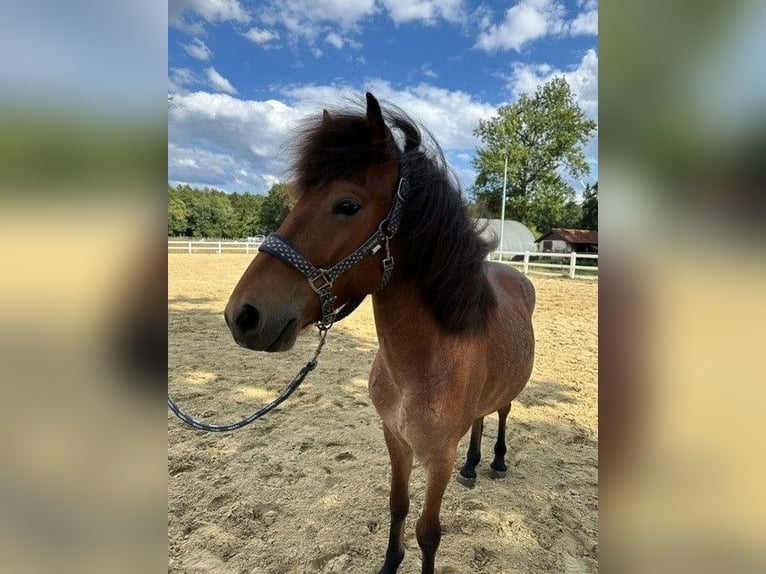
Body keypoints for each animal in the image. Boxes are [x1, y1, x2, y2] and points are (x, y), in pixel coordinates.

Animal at [224, 93, 535, 574]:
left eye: (347, 205)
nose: (243, 315)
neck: (421, 365)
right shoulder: (396, 439)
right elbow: (397, 506)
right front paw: (389, 564)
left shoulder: (438, 457)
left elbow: (428, 532)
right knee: (481, 419)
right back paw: (472, 466)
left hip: (507, 393)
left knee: (500, 413)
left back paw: (496, 462)